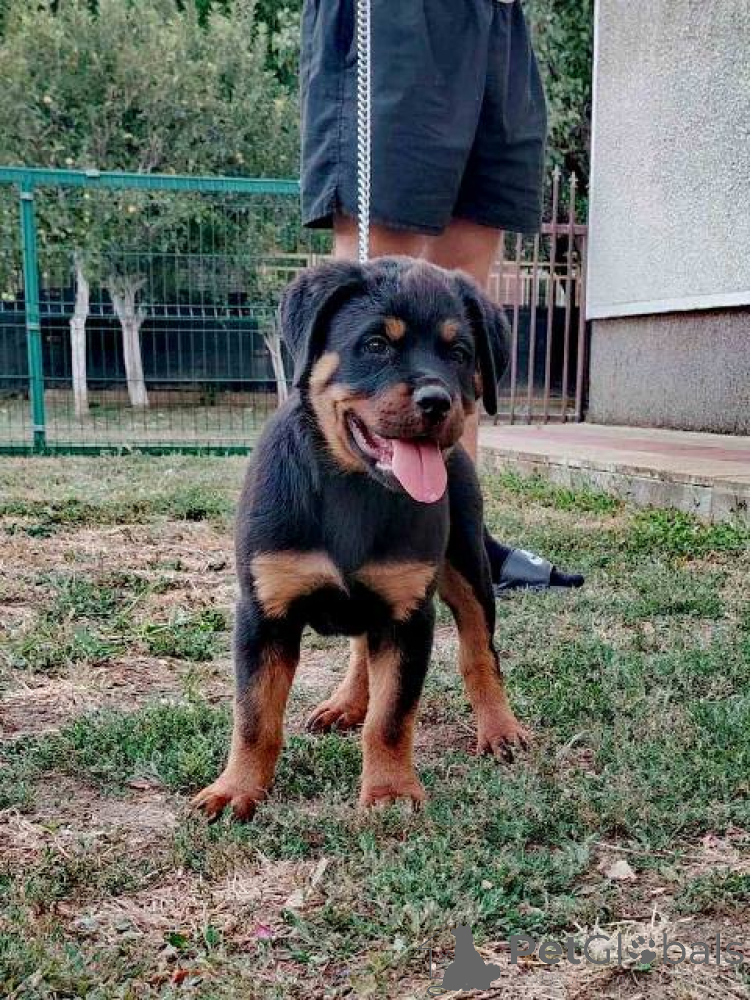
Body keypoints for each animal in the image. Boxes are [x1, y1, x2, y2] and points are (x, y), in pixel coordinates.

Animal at [193, 257, 528, 820]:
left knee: (480, 653)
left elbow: (391, 718)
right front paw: (235, 789)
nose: (438, 401)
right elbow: (255, 717)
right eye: (375, 345)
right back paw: (346, 702)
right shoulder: (262, 613)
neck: (351, 486)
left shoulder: (409, 615)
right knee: (360, 649)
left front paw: (390, 791)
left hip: (469, 567)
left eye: (460, 353)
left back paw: (499, 728)